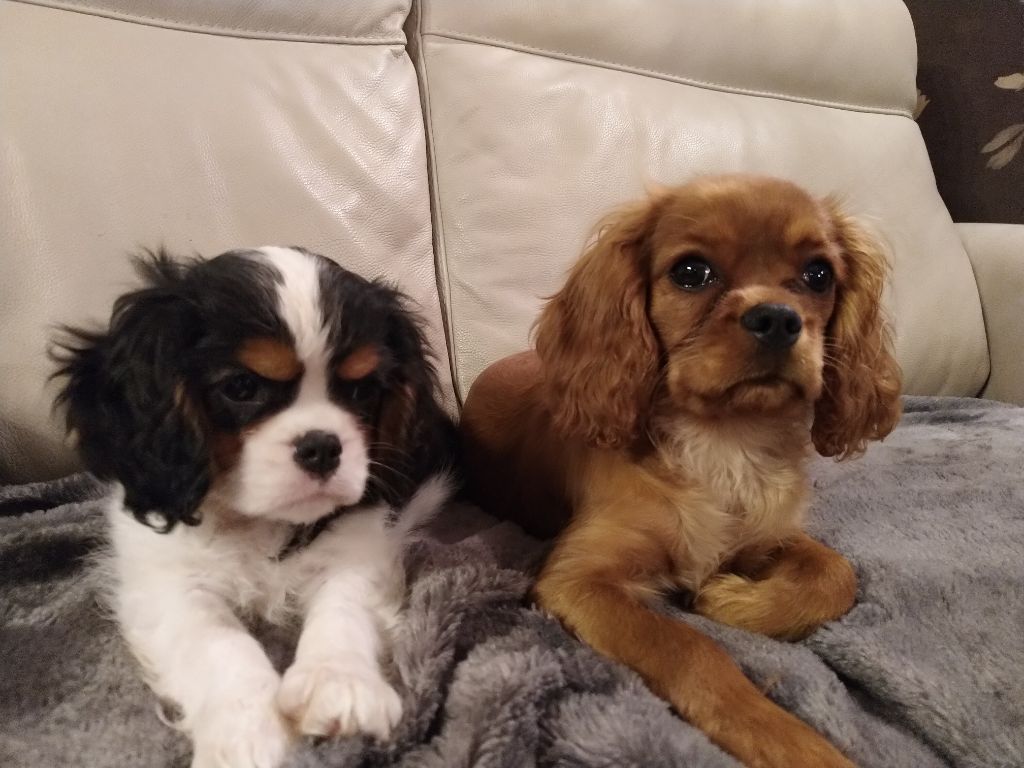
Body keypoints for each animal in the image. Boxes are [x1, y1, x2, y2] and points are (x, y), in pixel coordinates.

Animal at [54, 246, 454, 768]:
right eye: (242, 387)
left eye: (362, 391)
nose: (322, 447)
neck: (260, 521)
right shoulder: (167, 583)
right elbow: (218, 641)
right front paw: (247, 730)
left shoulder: (361, 548)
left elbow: (343, 609)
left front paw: (340, 683)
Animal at [460, 176, 901, 768]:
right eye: (691, 272)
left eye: (818, 274)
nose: (778, 318)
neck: (725, 441)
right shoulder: (577, 581)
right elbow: (690, 648)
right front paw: (785, 737)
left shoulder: (770, 535)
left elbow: (837, 575)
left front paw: (731, 600)